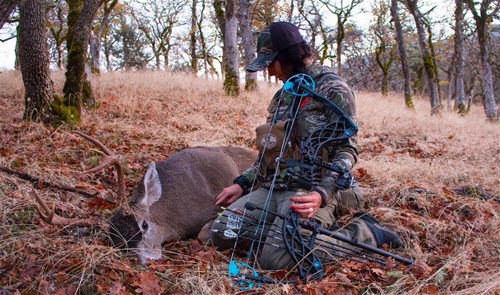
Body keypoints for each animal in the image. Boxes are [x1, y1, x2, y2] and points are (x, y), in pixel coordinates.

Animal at [33, 131, 256, 264]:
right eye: (115, 239)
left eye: (144, 225)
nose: (142, 259)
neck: (174, 218)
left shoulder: (212, 204)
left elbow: (202, 234)